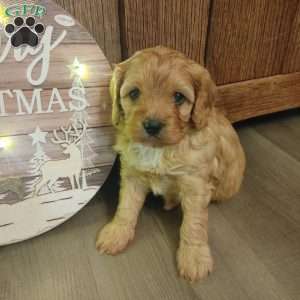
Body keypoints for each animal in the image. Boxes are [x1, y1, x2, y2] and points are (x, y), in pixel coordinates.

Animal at [96, 46, 246, 282]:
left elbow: (194, 224)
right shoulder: (132, 175)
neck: (160, 149)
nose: (152, 125)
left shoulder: (195, 185)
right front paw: (117, 232)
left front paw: (194, 256)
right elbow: (126, 206)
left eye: (178, 97)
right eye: (134, 93)